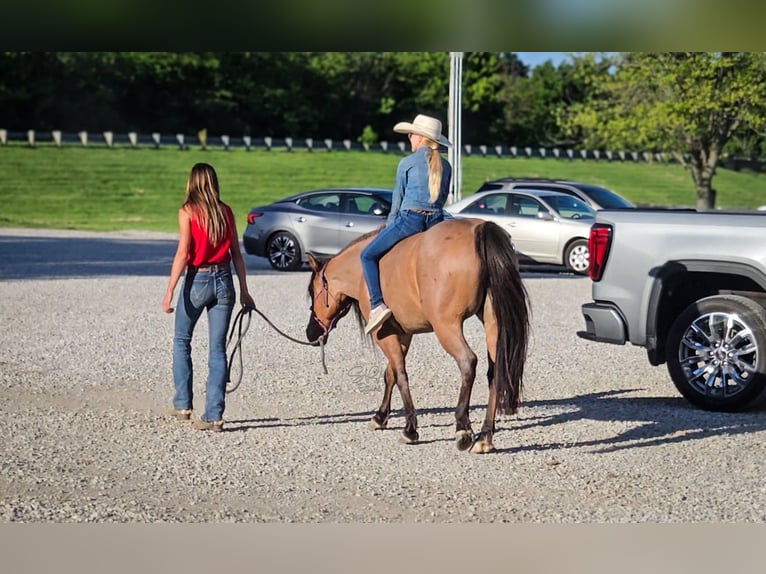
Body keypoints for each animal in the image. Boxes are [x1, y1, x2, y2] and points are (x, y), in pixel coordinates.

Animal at [305, 217, 530, 453]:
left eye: (312, 292)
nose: (310, 332)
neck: (359, 273)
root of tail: (480, 227)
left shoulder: (382, 334)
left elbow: (400, 375)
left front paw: (410, 429)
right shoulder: (402, 334)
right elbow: (390, 374)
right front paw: (380, 416)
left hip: (446, 326)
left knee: (468, 362)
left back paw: (463, 428)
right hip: (493, 324)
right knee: (496, 372)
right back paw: (485, 436)